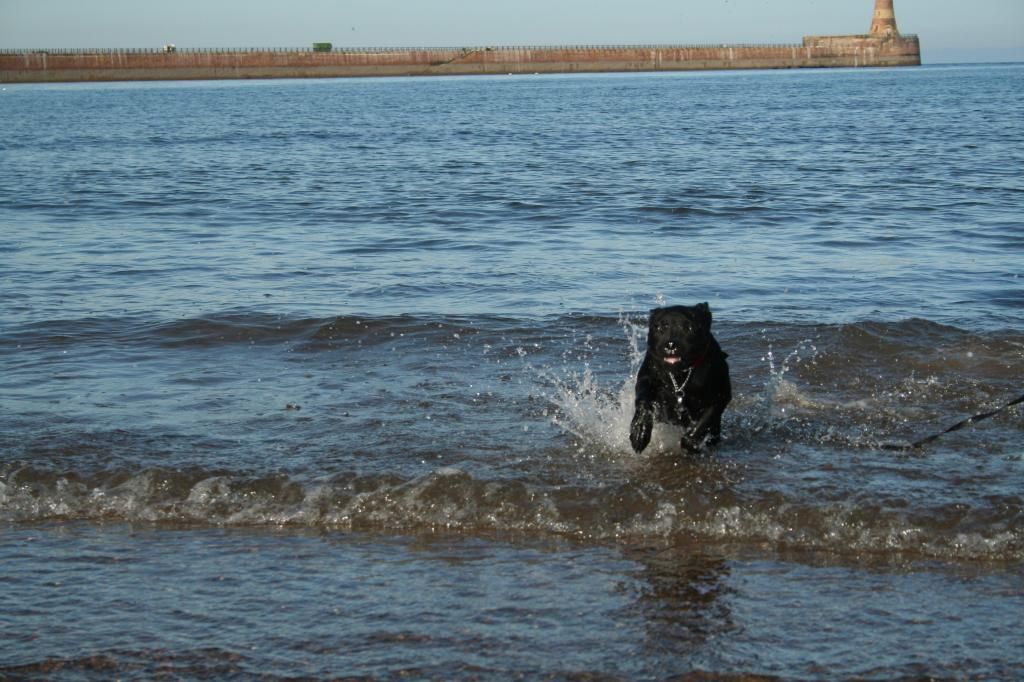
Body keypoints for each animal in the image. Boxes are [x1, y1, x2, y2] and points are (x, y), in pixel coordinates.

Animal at [626, 303, 733, 450]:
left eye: (689, 327)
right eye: (659, 327)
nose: (671, 344)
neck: (680, 375)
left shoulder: (720, 395)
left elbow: (706, 420)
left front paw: (691, 441)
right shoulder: (647, 378)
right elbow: (644, 401)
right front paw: (639, 431)